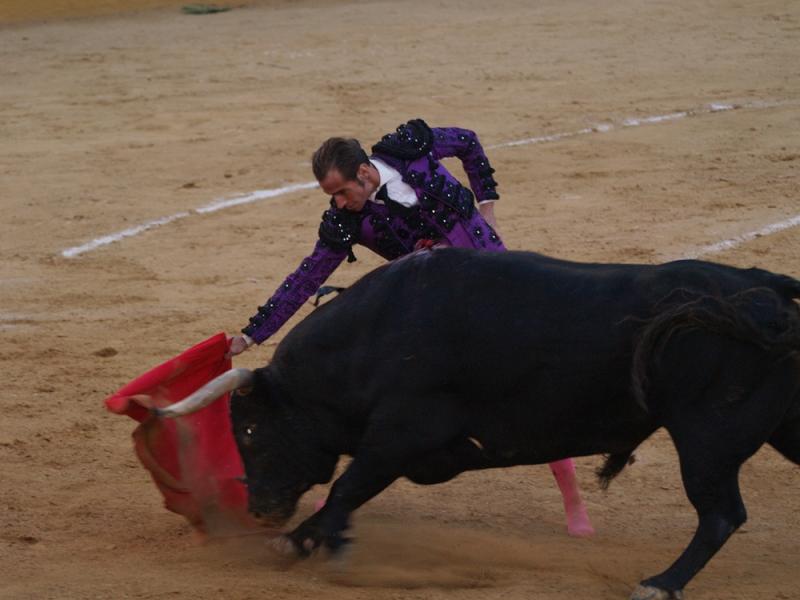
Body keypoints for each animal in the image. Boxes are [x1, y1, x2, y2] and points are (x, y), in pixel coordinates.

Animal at [158, 246, 800, 596]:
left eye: (249, 430)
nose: (260, 507)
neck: (372, 336)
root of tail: (762, 286)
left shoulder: (399, 434)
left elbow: (347, 486)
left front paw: (308, 543)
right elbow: (349, 489)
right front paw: (310, 539)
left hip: (707, 438)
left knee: (720, 515)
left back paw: (659, 584)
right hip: (773, 428)